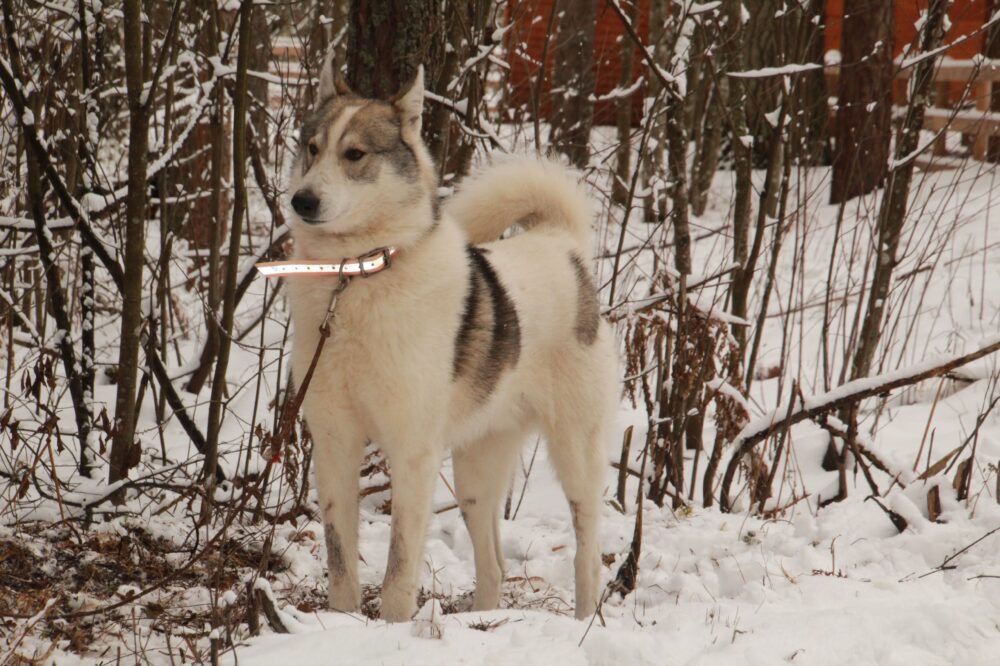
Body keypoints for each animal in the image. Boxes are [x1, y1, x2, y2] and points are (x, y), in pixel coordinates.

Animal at [282, 57, 620, 624]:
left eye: (354, 154)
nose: (301, 199)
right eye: (311, 148)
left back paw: (583, 620)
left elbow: (398, 569)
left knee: (588, 552)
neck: (353, 279)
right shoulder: (334, 444)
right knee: (495, 566)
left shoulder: (412, 453)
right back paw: (481, 620)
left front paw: (392, 628)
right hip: (475, 477)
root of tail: (561, 244)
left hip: (575, 453)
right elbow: (340, 560)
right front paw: (343, 622)